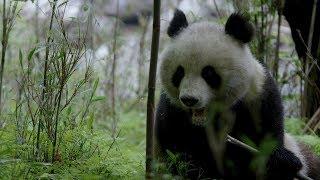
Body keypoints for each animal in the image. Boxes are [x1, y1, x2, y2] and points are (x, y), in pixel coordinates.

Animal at [154, 9, 320, 180]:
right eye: (179, 72)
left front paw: (281, 162)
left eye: (208, 73)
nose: (189, 100)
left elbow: (267, 135)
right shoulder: (171, 109)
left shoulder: (257, 96)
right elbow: (175, 148)